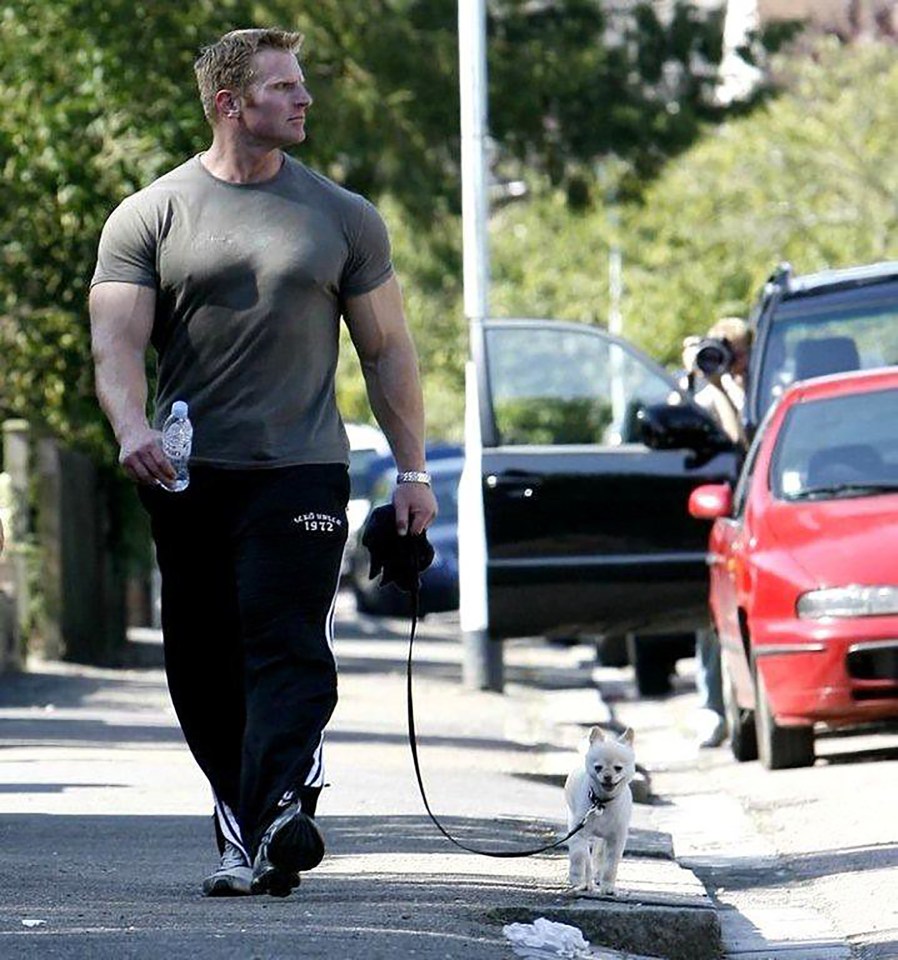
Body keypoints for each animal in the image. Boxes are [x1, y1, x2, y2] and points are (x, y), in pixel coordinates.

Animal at [564, 728, 632, 892]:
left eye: (618, 768)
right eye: (598, 767)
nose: (607, 776)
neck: (601, 802)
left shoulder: (616, 839)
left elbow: (610, 866)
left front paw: (608, 887)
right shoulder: (579, 832)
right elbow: (579, 855)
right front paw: (577, 879)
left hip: (602, 838)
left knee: (599, 854)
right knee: (586, 857)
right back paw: (587, 882)